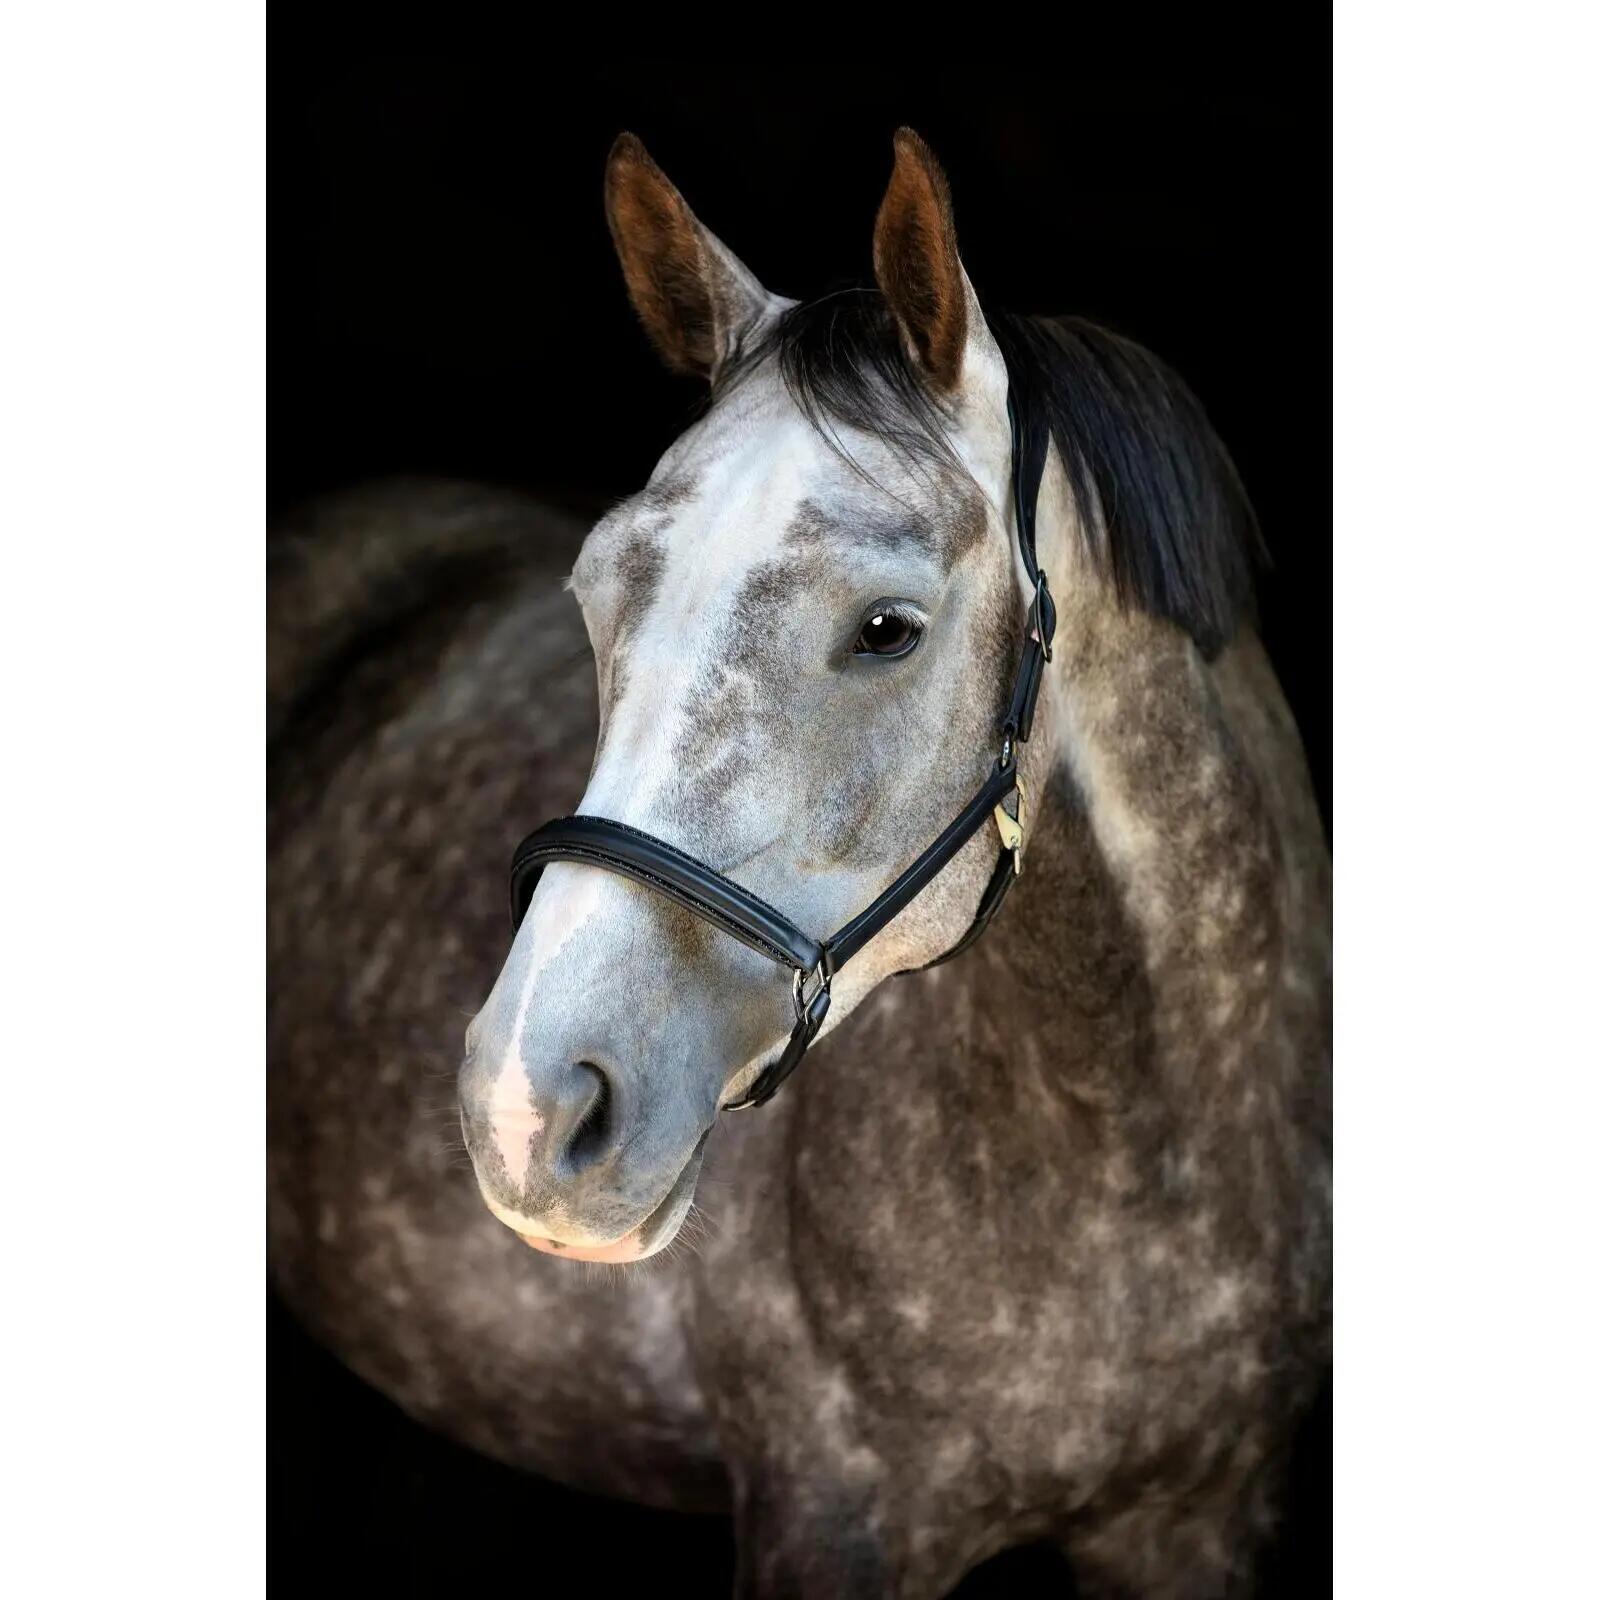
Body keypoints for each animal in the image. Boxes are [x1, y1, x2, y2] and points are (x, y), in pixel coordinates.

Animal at [267, 129, 1331, 1597]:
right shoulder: (834, 1524)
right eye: (596, 593)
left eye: (887, 629)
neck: (1141, 1159)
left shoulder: (1205, 1520)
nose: (526, 1110)